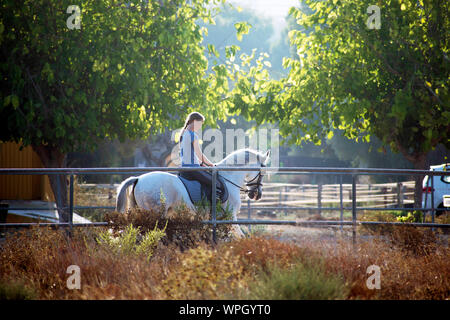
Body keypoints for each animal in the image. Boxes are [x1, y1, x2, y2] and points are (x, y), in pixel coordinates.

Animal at [117, 149, 270, 236]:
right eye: (262, 172)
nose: (257, 195)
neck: (228, 178)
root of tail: (138, 179)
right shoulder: (229, 217)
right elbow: (241, 237)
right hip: (154, 213)